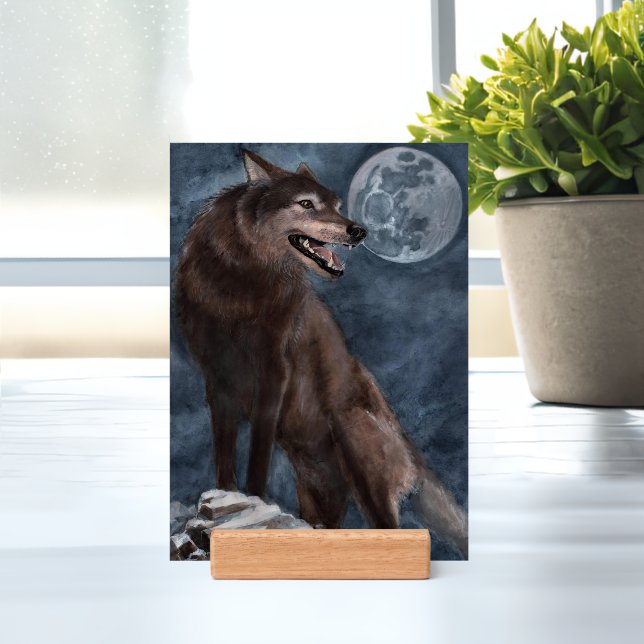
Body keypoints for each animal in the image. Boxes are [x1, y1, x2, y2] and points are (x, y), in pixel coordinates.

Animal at [175, 150, 467, 556]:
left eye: (336, 206)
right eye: (306, 204)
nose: (359, 231)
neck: (241, 286)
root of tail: (410, 447)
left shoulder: (274, 372)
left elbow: (258, 458)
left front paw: (253, 502)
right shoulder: (216, 380)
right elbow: (224, 458)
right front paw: (228, 499)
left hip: (363, 466)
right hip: (321, 499)